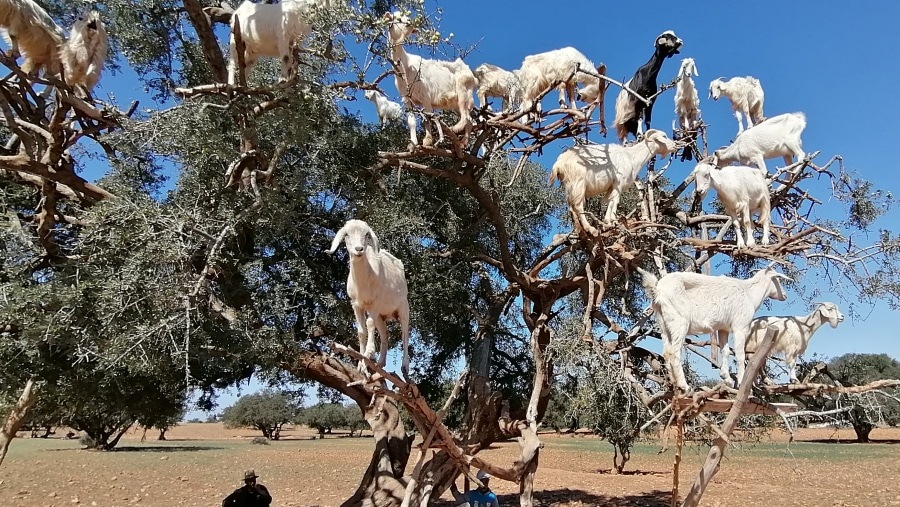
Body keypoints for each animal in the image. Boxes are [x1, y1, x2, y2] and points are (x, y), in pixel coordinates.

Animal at [326, 218, 414, 378]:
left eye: (367, 234)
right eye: (346, 235)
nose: (359, 249)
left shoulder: (376, 302)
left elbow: (369, 323)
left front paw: (369, 352)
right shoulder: (356, 304)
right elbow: (361, 331)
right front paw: (362, 366)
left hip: (403, 307)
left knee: (405, 333)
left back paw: (405, 366)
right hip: (381, 315)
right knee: (385, 334)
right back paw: (380, 363)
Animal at [384, 11, 474, 147]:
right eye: (397, 18)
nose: (409, 22)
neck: (406, 66)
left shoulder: (425, 96)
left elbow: (427, 119)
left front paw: (427, 140)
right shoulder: (407, 100)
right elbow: (411, 121)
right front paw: (413, 143)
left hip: (463, 90)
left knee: (466, 117)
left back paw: (456, 130)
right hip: (456, 103)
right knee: (469, 120)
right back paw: (463, 142)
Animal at [544, 129, 680, 236]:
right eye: (663, 136)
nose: (675, 146)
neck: (632, 157)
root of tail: (558, 164)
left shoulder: (612, 186)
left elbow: (610, 201)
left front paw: (607, 221)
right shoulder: (618, 182)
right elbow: (615, 201)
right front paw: (613, 221)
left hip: (569, 186)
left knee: (572, 209)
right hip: (578, 183)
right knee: (578, 206)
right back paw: (590, 229)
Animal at [636, 266, 792, 392]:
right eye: (778, 280)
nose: (785, 295)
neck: (749, 293)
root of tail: (658, 290)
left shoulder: (723, 328)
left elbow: (725, 351)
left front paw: (727, 379)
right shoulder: (740, 326)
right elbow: (740, 354)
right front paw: (741, 381)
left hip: (664, 324)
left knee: (666, 351)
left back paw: (674, 383)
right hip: (679, 322)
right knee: (673, 352)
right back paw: (684, 385)